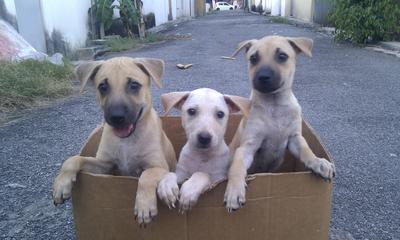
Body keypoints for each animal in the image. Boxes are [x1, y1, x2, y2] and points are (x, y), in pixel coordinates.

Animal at [51, 56, 175, 225]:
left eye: (134, 85)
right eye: (102, 87)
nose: (116, 118)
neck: (127, 141)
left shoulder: (159, 166)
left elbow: (146, 175)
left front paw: (144, 206)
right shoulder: (105, 166)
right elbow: (74, 159)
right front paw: (61, 184)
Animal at [225, 36, 334, 212]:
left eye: (282, 56)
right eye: (253, 58)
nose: (263, 77)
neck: (274, 105)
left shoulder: (295, 138)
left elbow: (306, 150)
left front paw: (318, 162)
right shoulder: (247, 146)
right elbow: (237, 166)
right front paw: (234, 189)